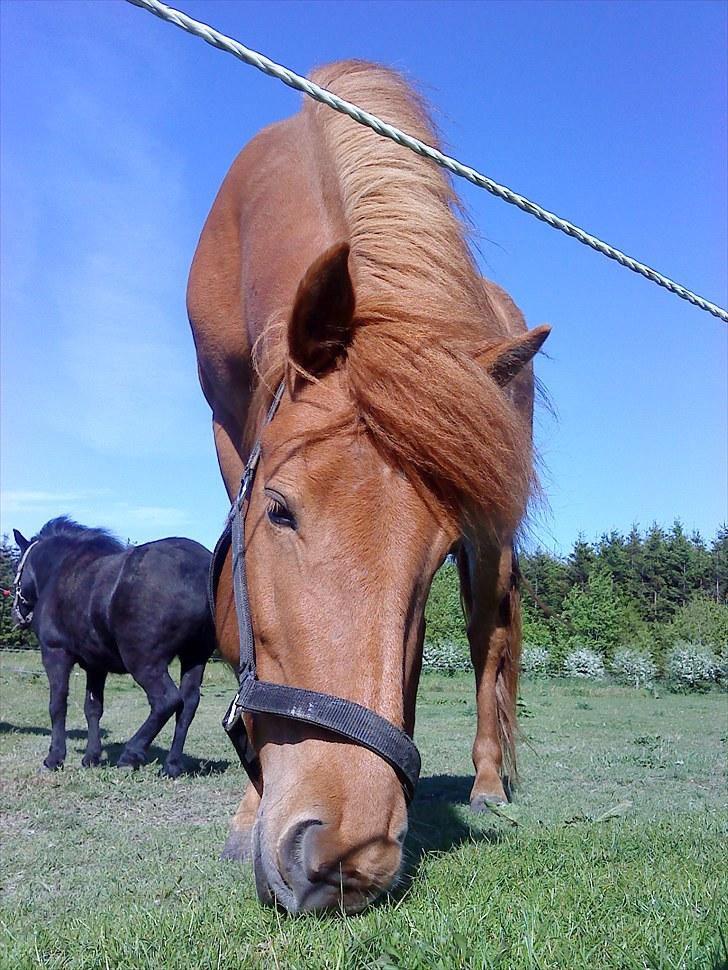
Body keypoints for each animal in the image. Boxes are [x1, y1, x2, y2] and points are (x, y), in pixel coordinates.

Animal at [12, 520, 216, 776]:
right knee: (188, 704)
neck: (61, 571)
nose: (16, 614)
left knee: (167, 701)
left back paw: (131, 754)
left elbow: (57, 705)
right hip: (194, 657)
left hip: (144, 662)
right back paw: (172, 765)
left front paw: (54, 758)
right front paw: (91, 757)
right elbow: (93, 708)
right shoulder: (95, 666)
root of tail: (200, 570)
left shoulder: (55, 654)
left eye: (17, 571)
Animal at [191, 60, 548, 908]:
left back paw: (489, 784)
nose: (345, 858)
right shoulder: (226, 426)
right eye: (279, 511)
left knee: (489, 635)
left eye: (433, 552)